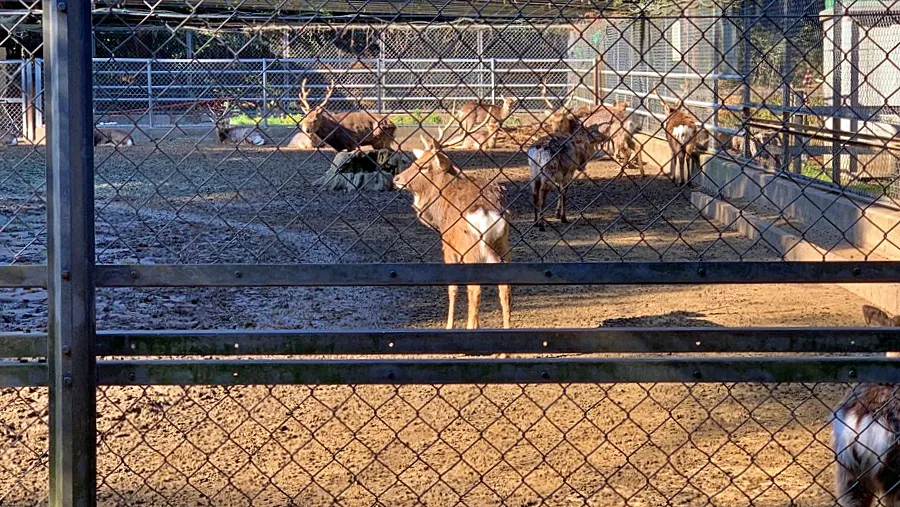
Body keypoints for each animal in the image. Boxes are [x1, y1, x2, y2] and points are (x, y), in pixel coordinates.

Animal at [392, 117, 511, 330]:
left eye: (424, 166)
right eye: (416, 162)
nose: (397, 178)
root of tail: (488, 212)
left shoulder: (448, 244)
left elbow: (453, 287)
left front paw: (449, 326)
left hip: (471, 248)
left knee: (475, 289)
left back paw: (471, 329)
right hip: (502, 245)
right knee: (505, 287)